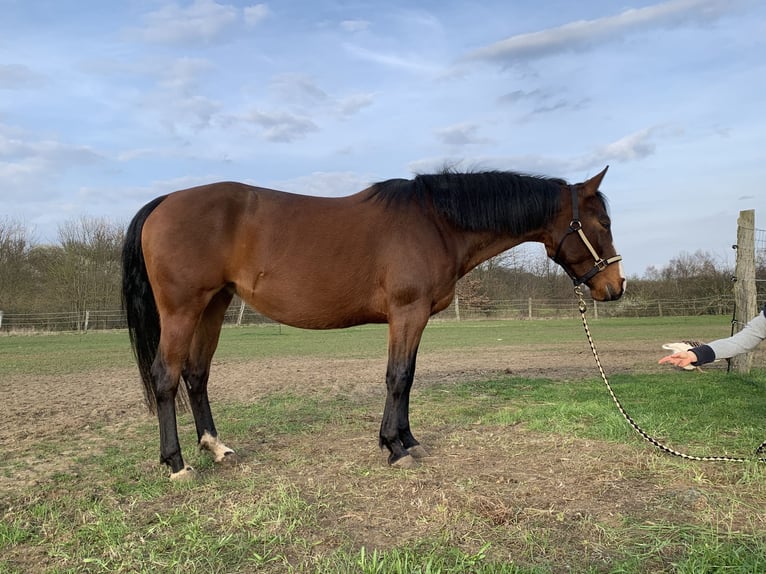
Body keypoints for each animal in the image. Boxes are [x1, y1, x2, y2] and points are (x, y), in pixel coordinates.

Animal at [120, 165, 624, 482]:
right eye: (602, 221)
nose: (615, 287)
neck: (435, 222)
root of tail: (165, 202)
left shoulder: (414, 318)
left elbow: (409, 376)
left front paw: (409, 440)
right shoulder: (407, 312)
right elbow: (397, 377)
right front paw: (394, 449)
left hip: (214, 306)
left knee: (196, 374)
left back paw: (215, 447)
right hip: (183, 310)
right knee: (166, 377)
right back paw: (176, 464)